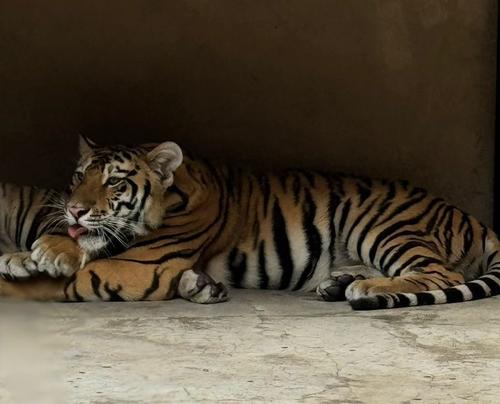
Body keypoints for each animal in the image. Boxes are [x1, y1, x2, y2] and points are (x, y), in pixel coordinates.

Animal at [0, 136, 498, 310]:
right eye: (79, 177)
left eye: (115, 182)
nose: (74, 210)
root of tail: (470, 217)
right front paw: (30, 254)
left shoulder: (139, 268)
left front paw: (38, 257)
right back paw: (337, 283)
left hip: (380, 223)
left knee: (439, 273)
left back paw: (363, 288)